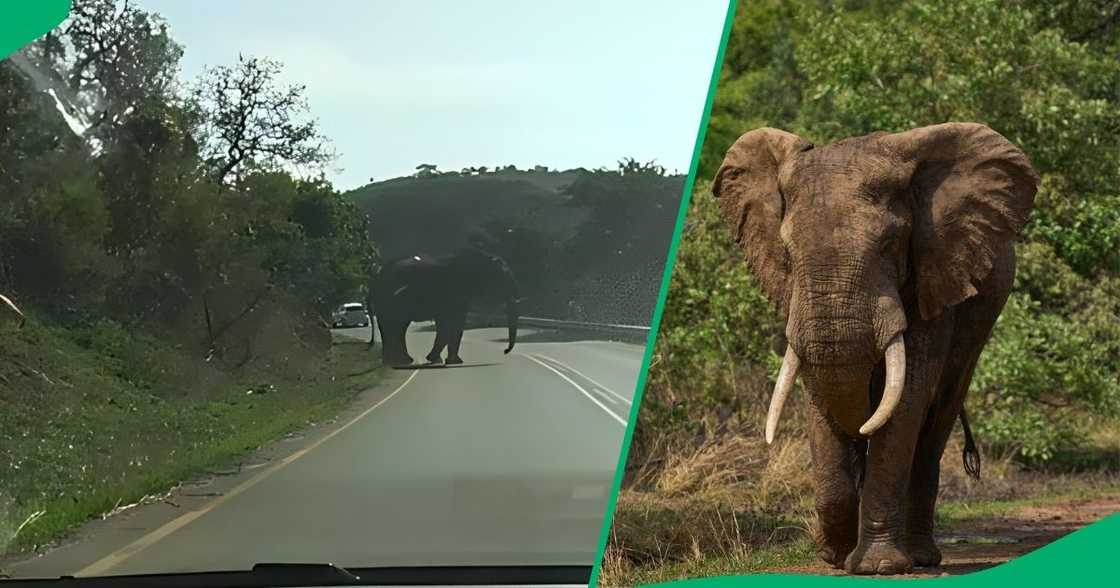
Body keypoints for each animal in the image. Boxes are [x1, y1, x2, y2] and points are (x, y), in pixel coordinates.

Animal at [369, 247, 521, 367]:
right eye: (503, 280)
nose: (505, 351)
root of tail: (378, 272)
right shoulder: (452, 291)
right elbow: (449, 324)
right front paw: (440, 360)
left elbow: (457, 324)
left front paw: (449, 361)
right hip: (385, 297)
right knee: (393, 325)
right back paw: (398, 361)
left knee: (397, 327)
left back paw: (398, 361)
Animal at [716, 120, 1039, 573]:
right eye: (788, 251)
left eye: (890, 244)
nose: (835, 555)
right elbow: (819, 393)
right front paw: (835, 556)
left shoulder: (933, 274)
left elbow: (907, 400)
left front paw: (878, 567)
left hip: (979, 325)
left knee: (936, 422)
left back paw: (920, 557)